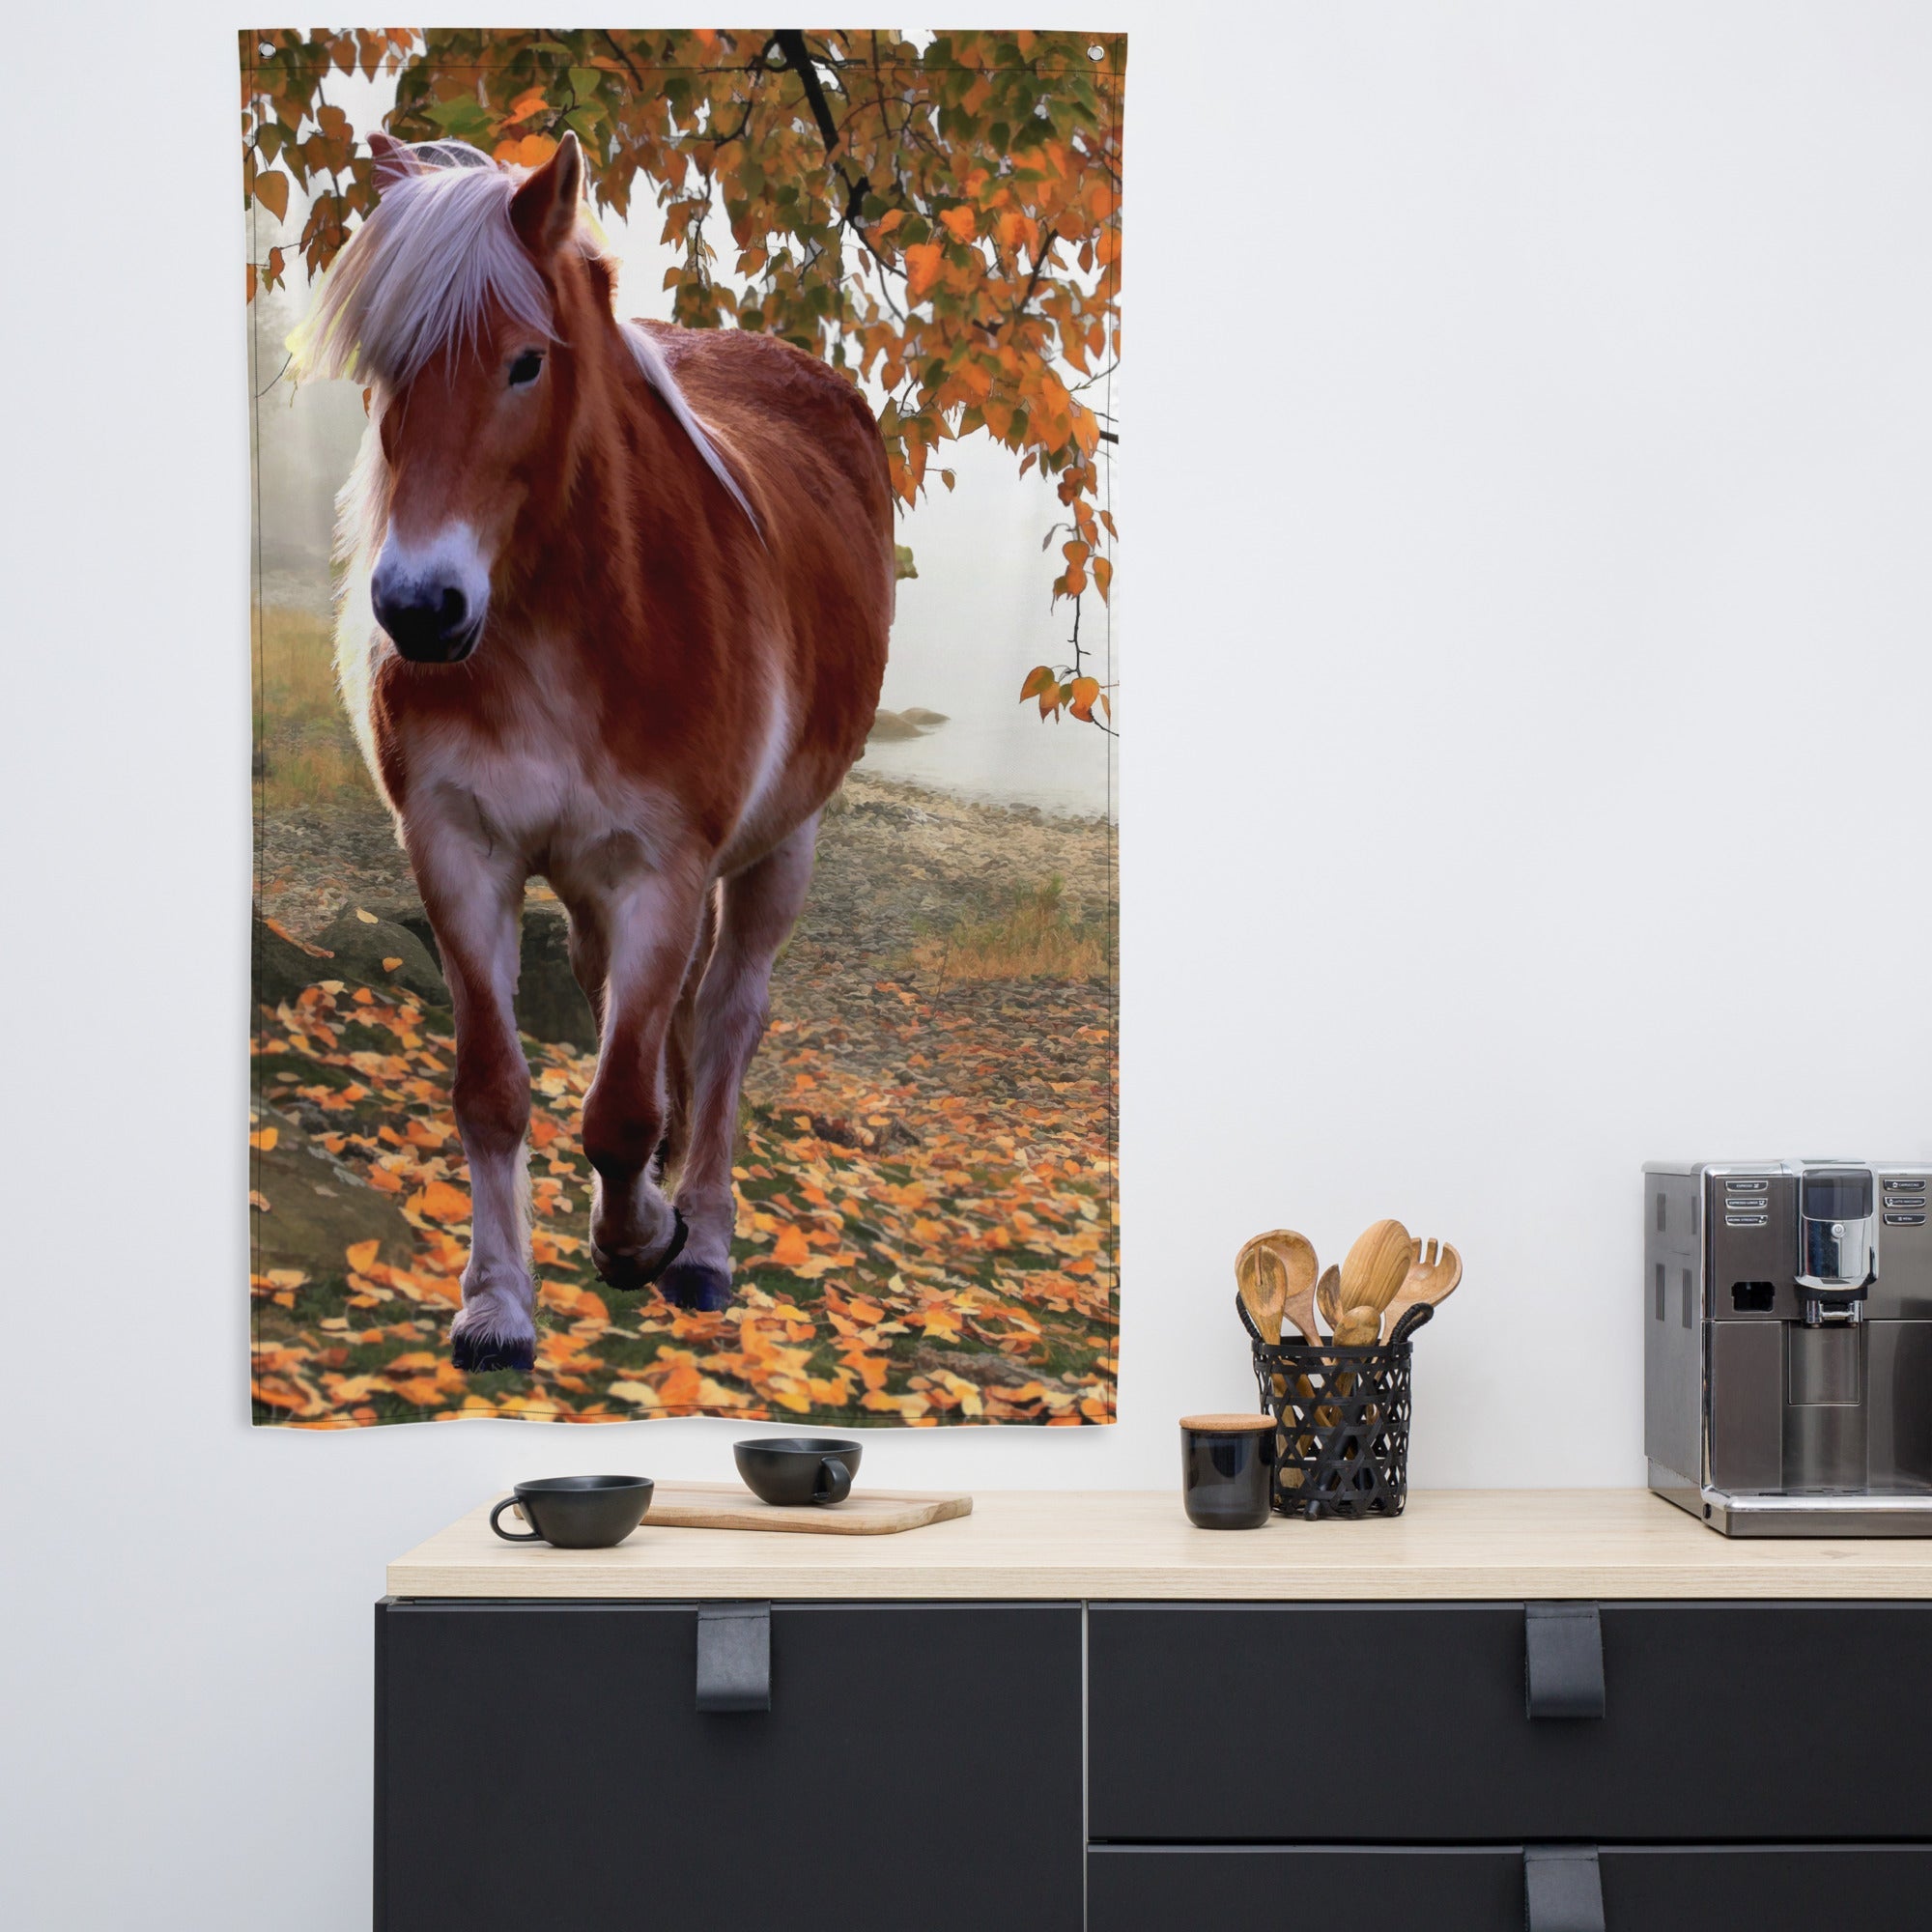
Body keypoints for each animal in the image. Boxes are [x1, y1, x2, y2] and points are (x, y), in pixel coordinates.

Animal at [291, 130, 893, 1371]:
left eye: (524, 364)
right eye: (383, 369)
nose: (418, 609)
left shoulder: (661, 869)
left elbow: (620, 1106)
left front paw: (641, 1238)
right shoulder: (459, 851)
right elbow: (494, 1088)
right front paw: (496, 1303)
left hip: (782, 846)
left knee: (724, 1024)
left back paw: (701, 1239)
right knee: (644, 1010)